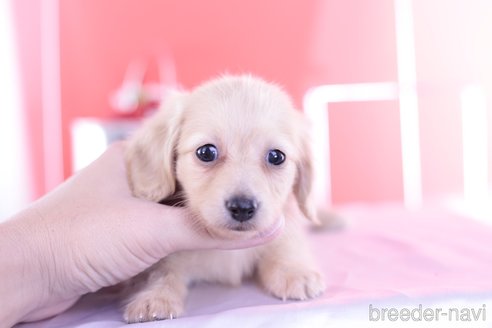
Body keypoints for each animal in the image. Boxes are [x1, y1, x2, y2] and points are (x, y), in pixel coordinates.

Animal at [121, 75, 324, 322]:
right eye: (206, 152)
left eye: (276, 156)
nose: (242, 208)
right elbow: (161, 271)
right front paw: (155, 297)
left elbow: (285, 242)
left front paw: (294, 271)